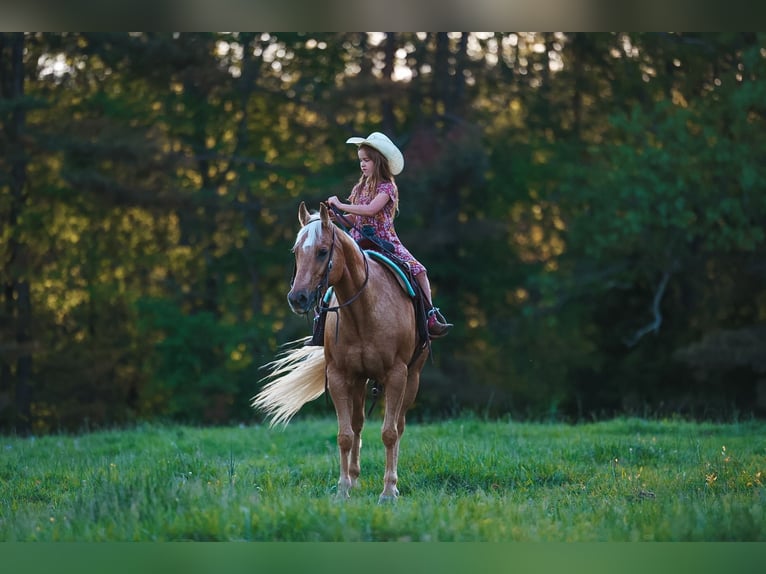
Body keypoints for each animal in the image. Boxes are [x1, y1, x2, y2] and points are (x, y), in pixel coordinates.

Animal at [252, 202, 429, 502]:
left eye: (323, 251)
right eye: (296, 251)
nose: (297, 298)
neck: (364, 310)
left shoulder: (397, 375)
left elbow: (389, 433)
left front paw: (388, 491)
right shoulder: (339, 376)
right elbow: (344, 434)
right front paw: (343, 488)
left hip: (413, 377)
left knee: (400, 425)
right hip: (359, 381)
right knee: (357, 424)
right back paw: (355, 478)